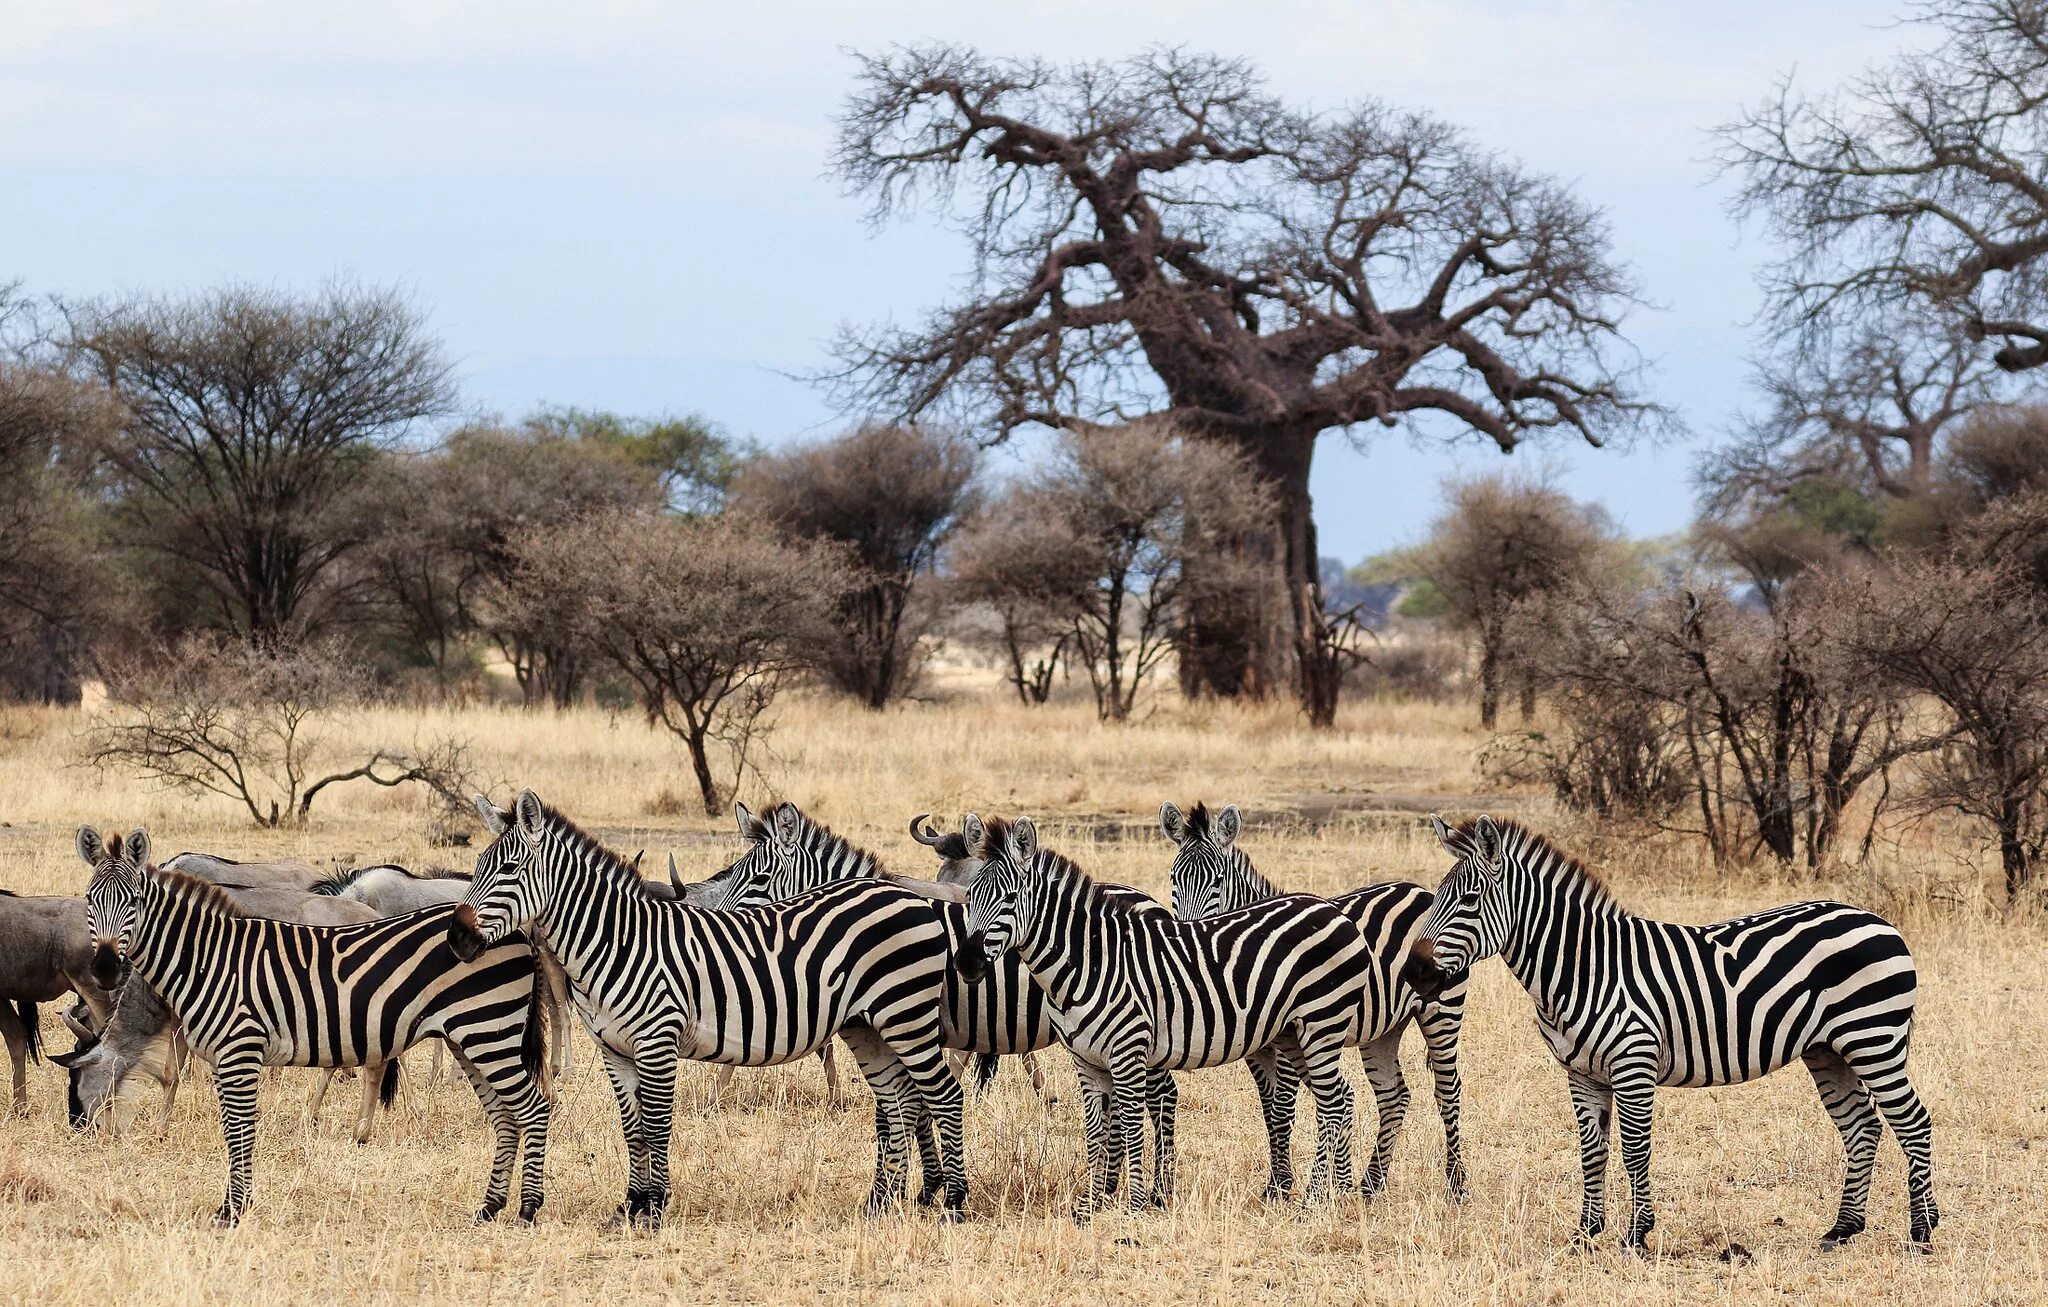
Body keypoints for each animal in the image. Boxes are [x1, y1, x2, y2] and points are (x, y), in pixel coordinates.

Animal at [80, 827, 552, 1229]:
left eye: (133, 901)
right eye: (88, 900)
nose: (103, 968)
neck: (207, 958)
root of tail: (517, 934)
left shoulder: (239, 1049)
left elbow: (238, 1129)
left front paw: (235, 1210)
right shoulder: (222, 1057)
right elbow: (229, 1123)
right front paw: (233, 1205)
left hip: (488, 1031)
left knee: (534, 1107)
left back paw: (527, 1209)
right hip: (469, 1038)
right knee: (505, 1116)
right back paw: (489, 1208)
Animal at [446, 794, 966, 1237]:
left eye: (509, 869)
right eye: (476, 869)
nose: (457, 940)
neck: (617, 941)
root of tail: (907, 895)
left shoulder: (657, 1040)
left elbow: (657, 1124)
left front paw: (654, 1208)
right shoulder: (615, 1050)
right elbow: (632, 1128)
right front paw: (630, 1206)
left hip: (907, 1017)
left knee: (945, 1094)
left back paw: (954, 1204)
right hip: (870, 1026)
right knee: (900, 1100)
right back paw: (882, 1204)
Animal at [958, 815, 1376, 1220]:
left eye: (1011, 898)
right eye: (969, 896)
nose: (966, 962)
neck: (1089, 962)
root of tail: (1333, 911)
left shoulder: (1128, 1053)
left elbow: (1130, 1127)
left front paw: (1135, 1205)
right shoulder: (1087, 1062)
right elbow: (1095, 1132)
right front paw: (1091, 1204)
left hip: (1321, 1024)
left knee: (1332, 1103)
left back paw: (1313, 1200)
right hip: (1293, 1034)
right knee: (1341, 1096)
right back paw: (1335, 1192)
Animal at [1163, 803, 1466, 1204]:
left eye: (1218, 881)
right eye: (1174, 880)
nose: (1190, 934)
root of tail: (1419, 889)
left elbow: (1283, 1107)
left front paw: (1284, 1186)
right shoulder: (1258, 1047)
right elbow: (1269, 1109)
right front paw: (1284, 1182)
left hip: (1442, 1010)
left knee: (1448, 1089)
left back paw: (1457, 1186)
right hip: (1382, 1028)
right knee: (1394, 1096)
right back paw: (1371, 1184)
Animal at [1409, 815, 1933, 1253]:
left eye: (1470, 901)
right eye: (1436, 898)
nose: (1415, 970)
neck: (1582, 968)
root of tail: (1880, 921)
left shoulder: (1633, 1063)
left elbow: (1635, 1151)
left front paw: (1636, 1235)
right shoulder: (1581, 1074)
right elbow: (1592, 1152)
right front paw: (1586, 1232)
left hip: (1874, 1040)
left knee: (1913, 1122)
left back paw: (1922, 1232)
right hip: (1829, 1050)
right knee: (1862, 1126)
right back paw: (1842, 1229)